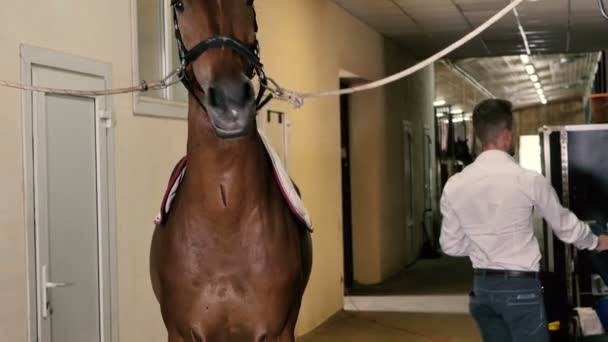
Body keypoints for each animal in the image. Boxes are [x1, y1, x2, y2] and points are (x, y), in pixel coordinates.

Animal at [150, 1, 314, 340]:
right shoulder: (180, 332)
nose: (231, 102)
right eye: (180, 5)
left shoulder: (280, 331)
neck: (225, 214)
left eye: (249, 3)